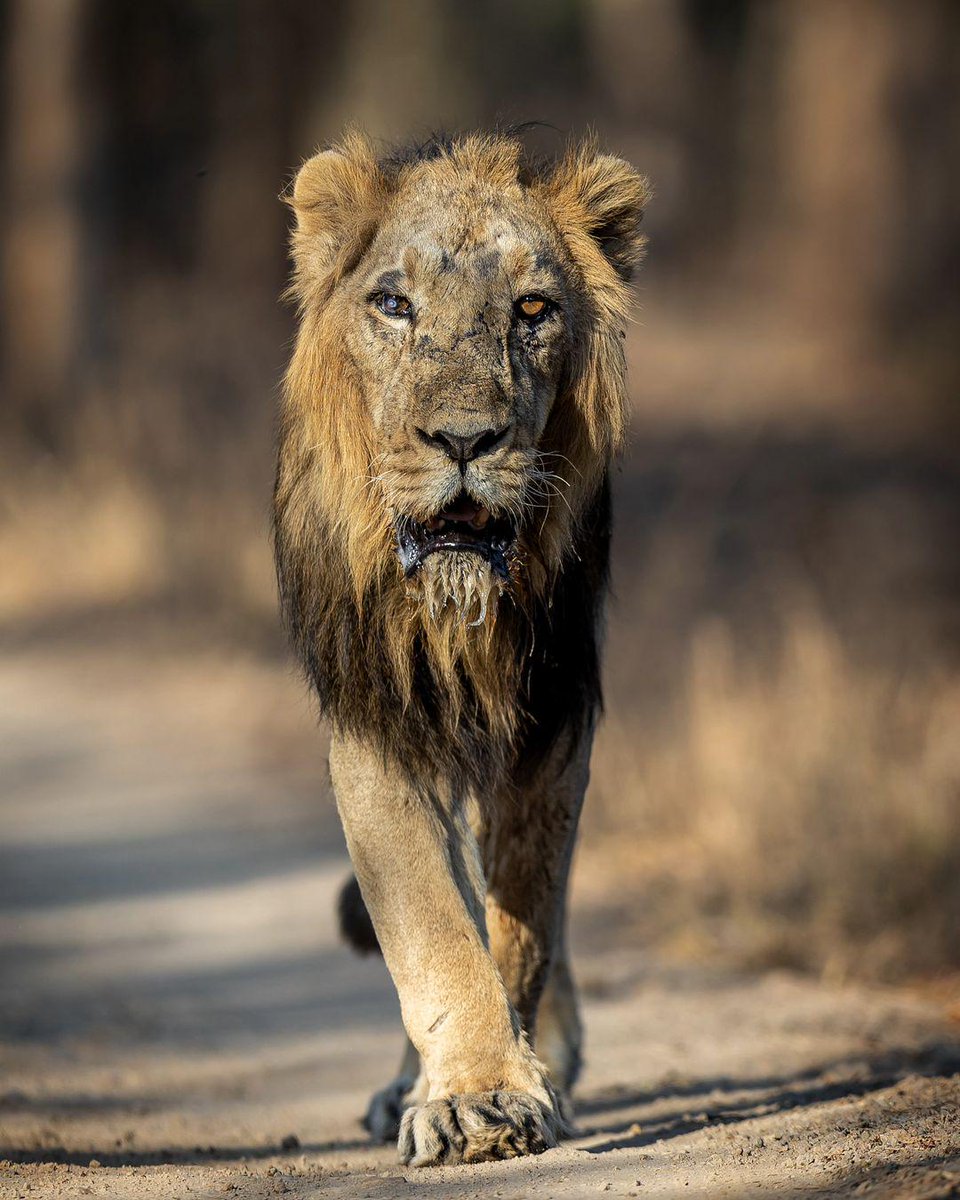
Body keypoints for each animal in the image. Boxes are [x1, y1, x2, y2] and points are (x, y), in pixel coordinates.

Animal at [273, 129, 648, 1161]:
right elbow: (434, 926)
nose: (465, 439)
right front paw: (470, 1098)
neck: (453, 613)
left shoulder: (554, 720)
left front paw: (506, 1085)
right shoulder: (376, 718)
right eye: (394, 305)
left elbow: (518, 920)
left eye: (533, 311)